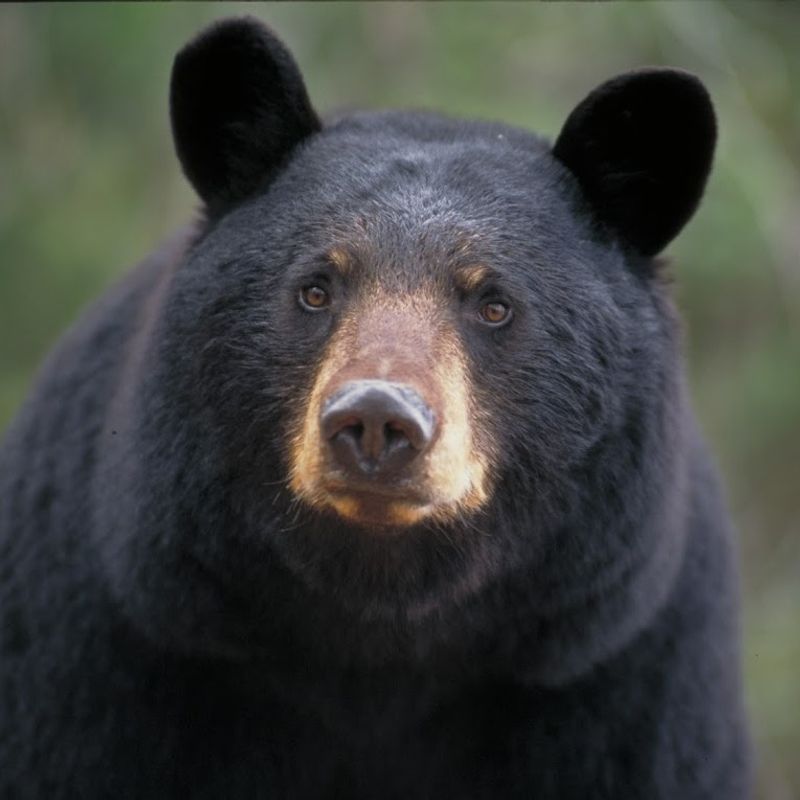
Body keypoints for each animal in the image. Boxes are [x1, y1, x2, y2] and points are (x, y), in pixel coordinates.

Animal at [0, 16, 751, 799]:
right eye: (315, 288)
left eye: (493, 303)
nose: (376, 420)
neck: (379, 628)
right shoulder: (103, 646)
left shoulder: (622, 672)